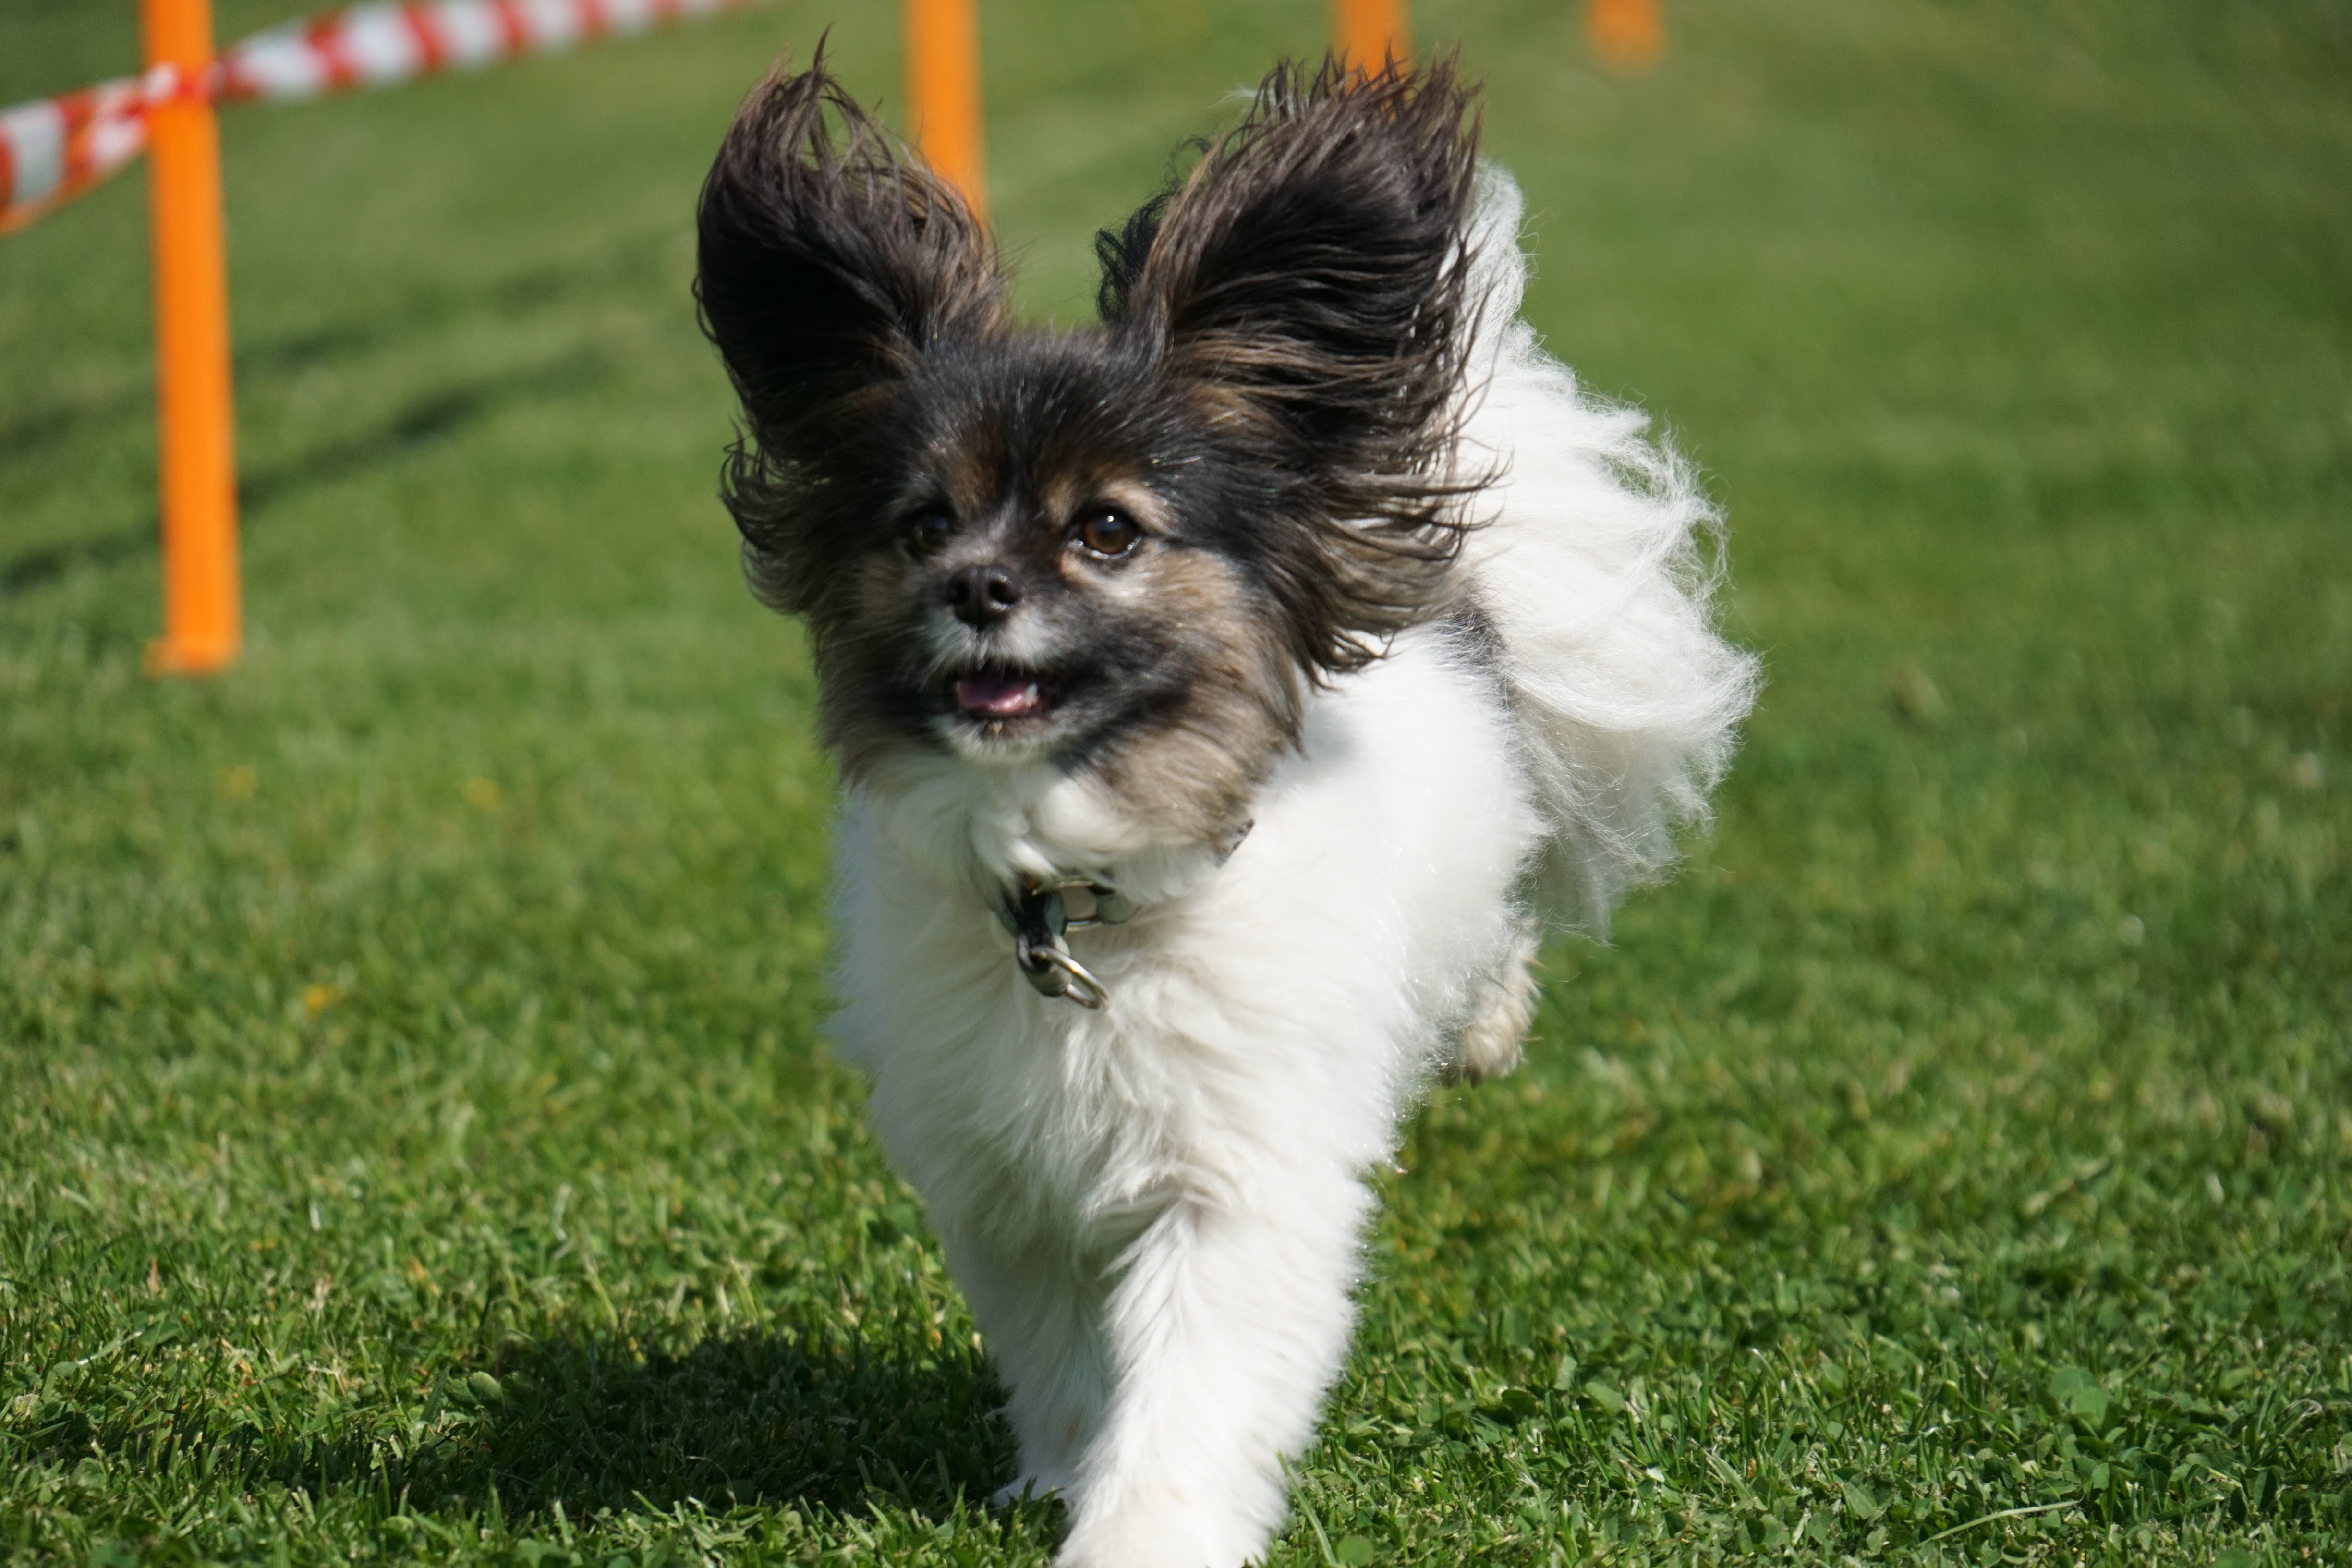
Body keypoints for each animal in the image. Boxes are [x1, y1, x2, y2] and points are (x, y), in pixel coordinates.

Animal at [695, 53, 1757, 1568]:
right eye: (921, 527)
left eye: (1107, 531)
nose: (976, 587)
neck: (1079, 905)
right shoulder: (1009, 1184)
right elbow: (1065, 1359)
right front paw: (1057, 1477)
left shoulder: (1239, 1178)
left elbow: (1192, 1387)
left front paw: (1139, 1534)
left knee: (1494, 946)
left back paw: (1484, 1028)